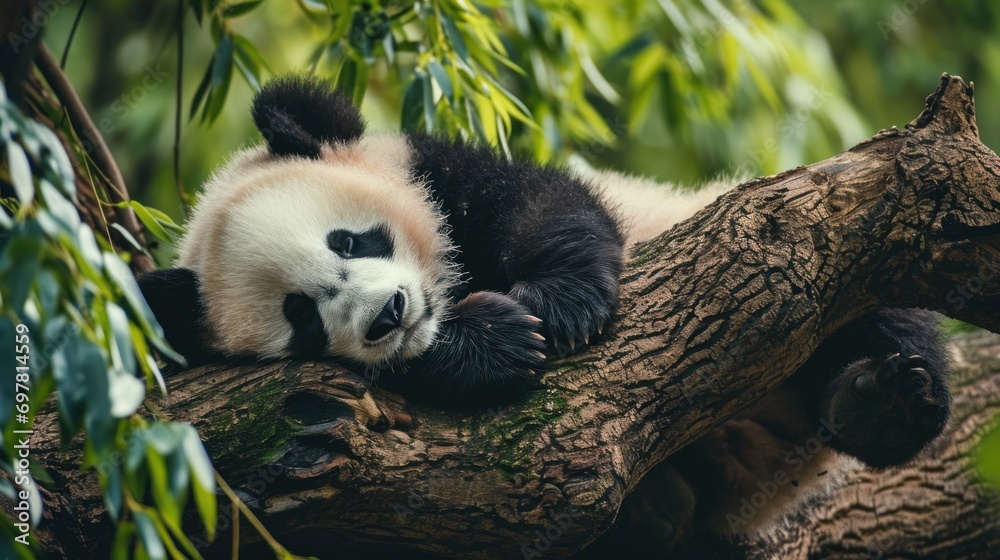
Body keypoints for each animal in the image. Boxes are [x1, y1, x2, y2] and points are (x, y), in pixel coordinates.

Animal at [137, 75, 951, 553]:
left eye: (352, 239)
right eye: (301, 316)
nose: (389, 315)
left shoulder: (434, 167)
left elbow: (545, 206)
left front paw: (558, 306)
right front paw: (489, 344)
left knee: (870, 304)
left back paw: (886, 400)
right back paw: (662, 506)